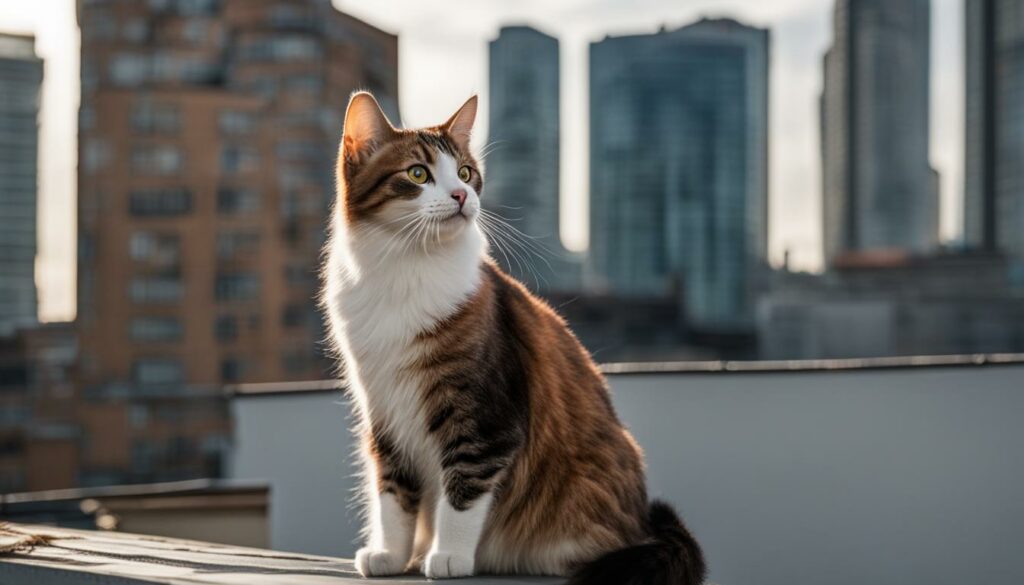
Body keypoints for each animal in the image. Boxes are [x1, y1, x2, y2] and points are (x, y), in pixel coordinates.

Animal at [319, 92, 704, 585]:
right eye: (418, 174)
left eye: (465, 173)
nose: (462, 196)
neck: (407, 268)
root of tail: (640, 525)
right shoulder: (383, 410)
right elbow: (393, 496)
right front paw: (391, 554)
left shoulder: (485, 417)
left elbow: (462, 491)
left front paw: (449, 555)